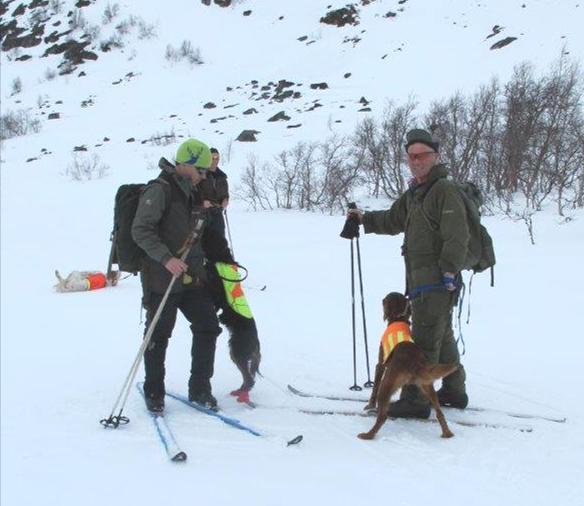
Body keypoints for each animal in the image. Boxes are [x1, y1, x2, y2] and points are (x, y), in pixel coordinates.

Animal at [358, 292, 458, 438]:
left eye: (385, 300)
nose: (382, 300)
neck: (399, 319)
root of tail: (415, 363)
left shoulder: (380, 365)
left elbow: (374, 388)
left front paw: (370, 405)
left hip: (386, 383)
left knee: (382, 416)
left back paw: (368, 435)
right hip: (427, 386)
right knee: (439, 413)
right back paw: (447, 433)